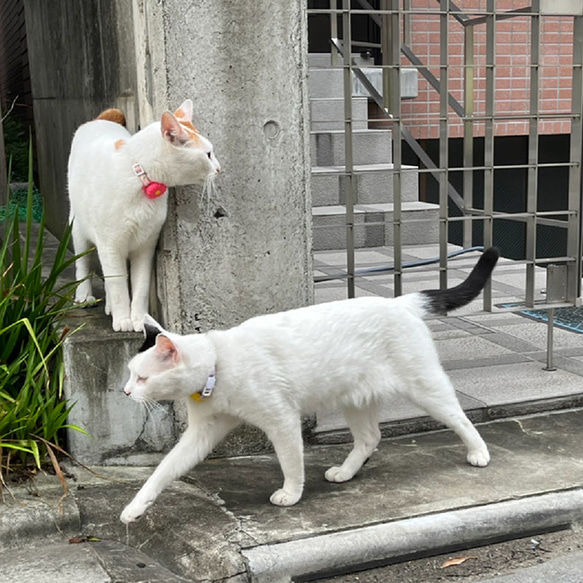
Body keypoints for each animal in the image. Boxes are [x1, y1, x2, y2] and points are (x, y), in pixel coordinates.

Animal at [66, 98, 221, 330]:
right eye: (208, 154)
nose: (219, 168)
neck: (141, 178)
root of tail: (99, 120)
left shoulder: (146, 243)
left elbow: (140, 285)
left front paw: (139, 318)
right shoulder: (110, 244)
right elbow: (118, 283)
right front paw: (123, 319)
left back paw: (109, 306)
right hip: (78, 227)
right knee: (83, 262)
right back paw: (84, 296)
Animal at [118, 249, 498, 524]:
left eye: (142, 378)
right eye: (131, 374)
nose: (125, 392)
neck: (219, 364)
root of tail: (398, 302)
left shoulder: (281, 419)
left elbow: (290, 461)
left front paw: (291, 494)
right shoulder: (201, 433)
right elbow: (164, 470)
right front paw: (135, 508)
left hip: (424, 385)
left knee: (460, 418)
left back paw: (479, 453)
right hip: (356, 399)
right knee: (370, 437)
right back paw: (344, 472)